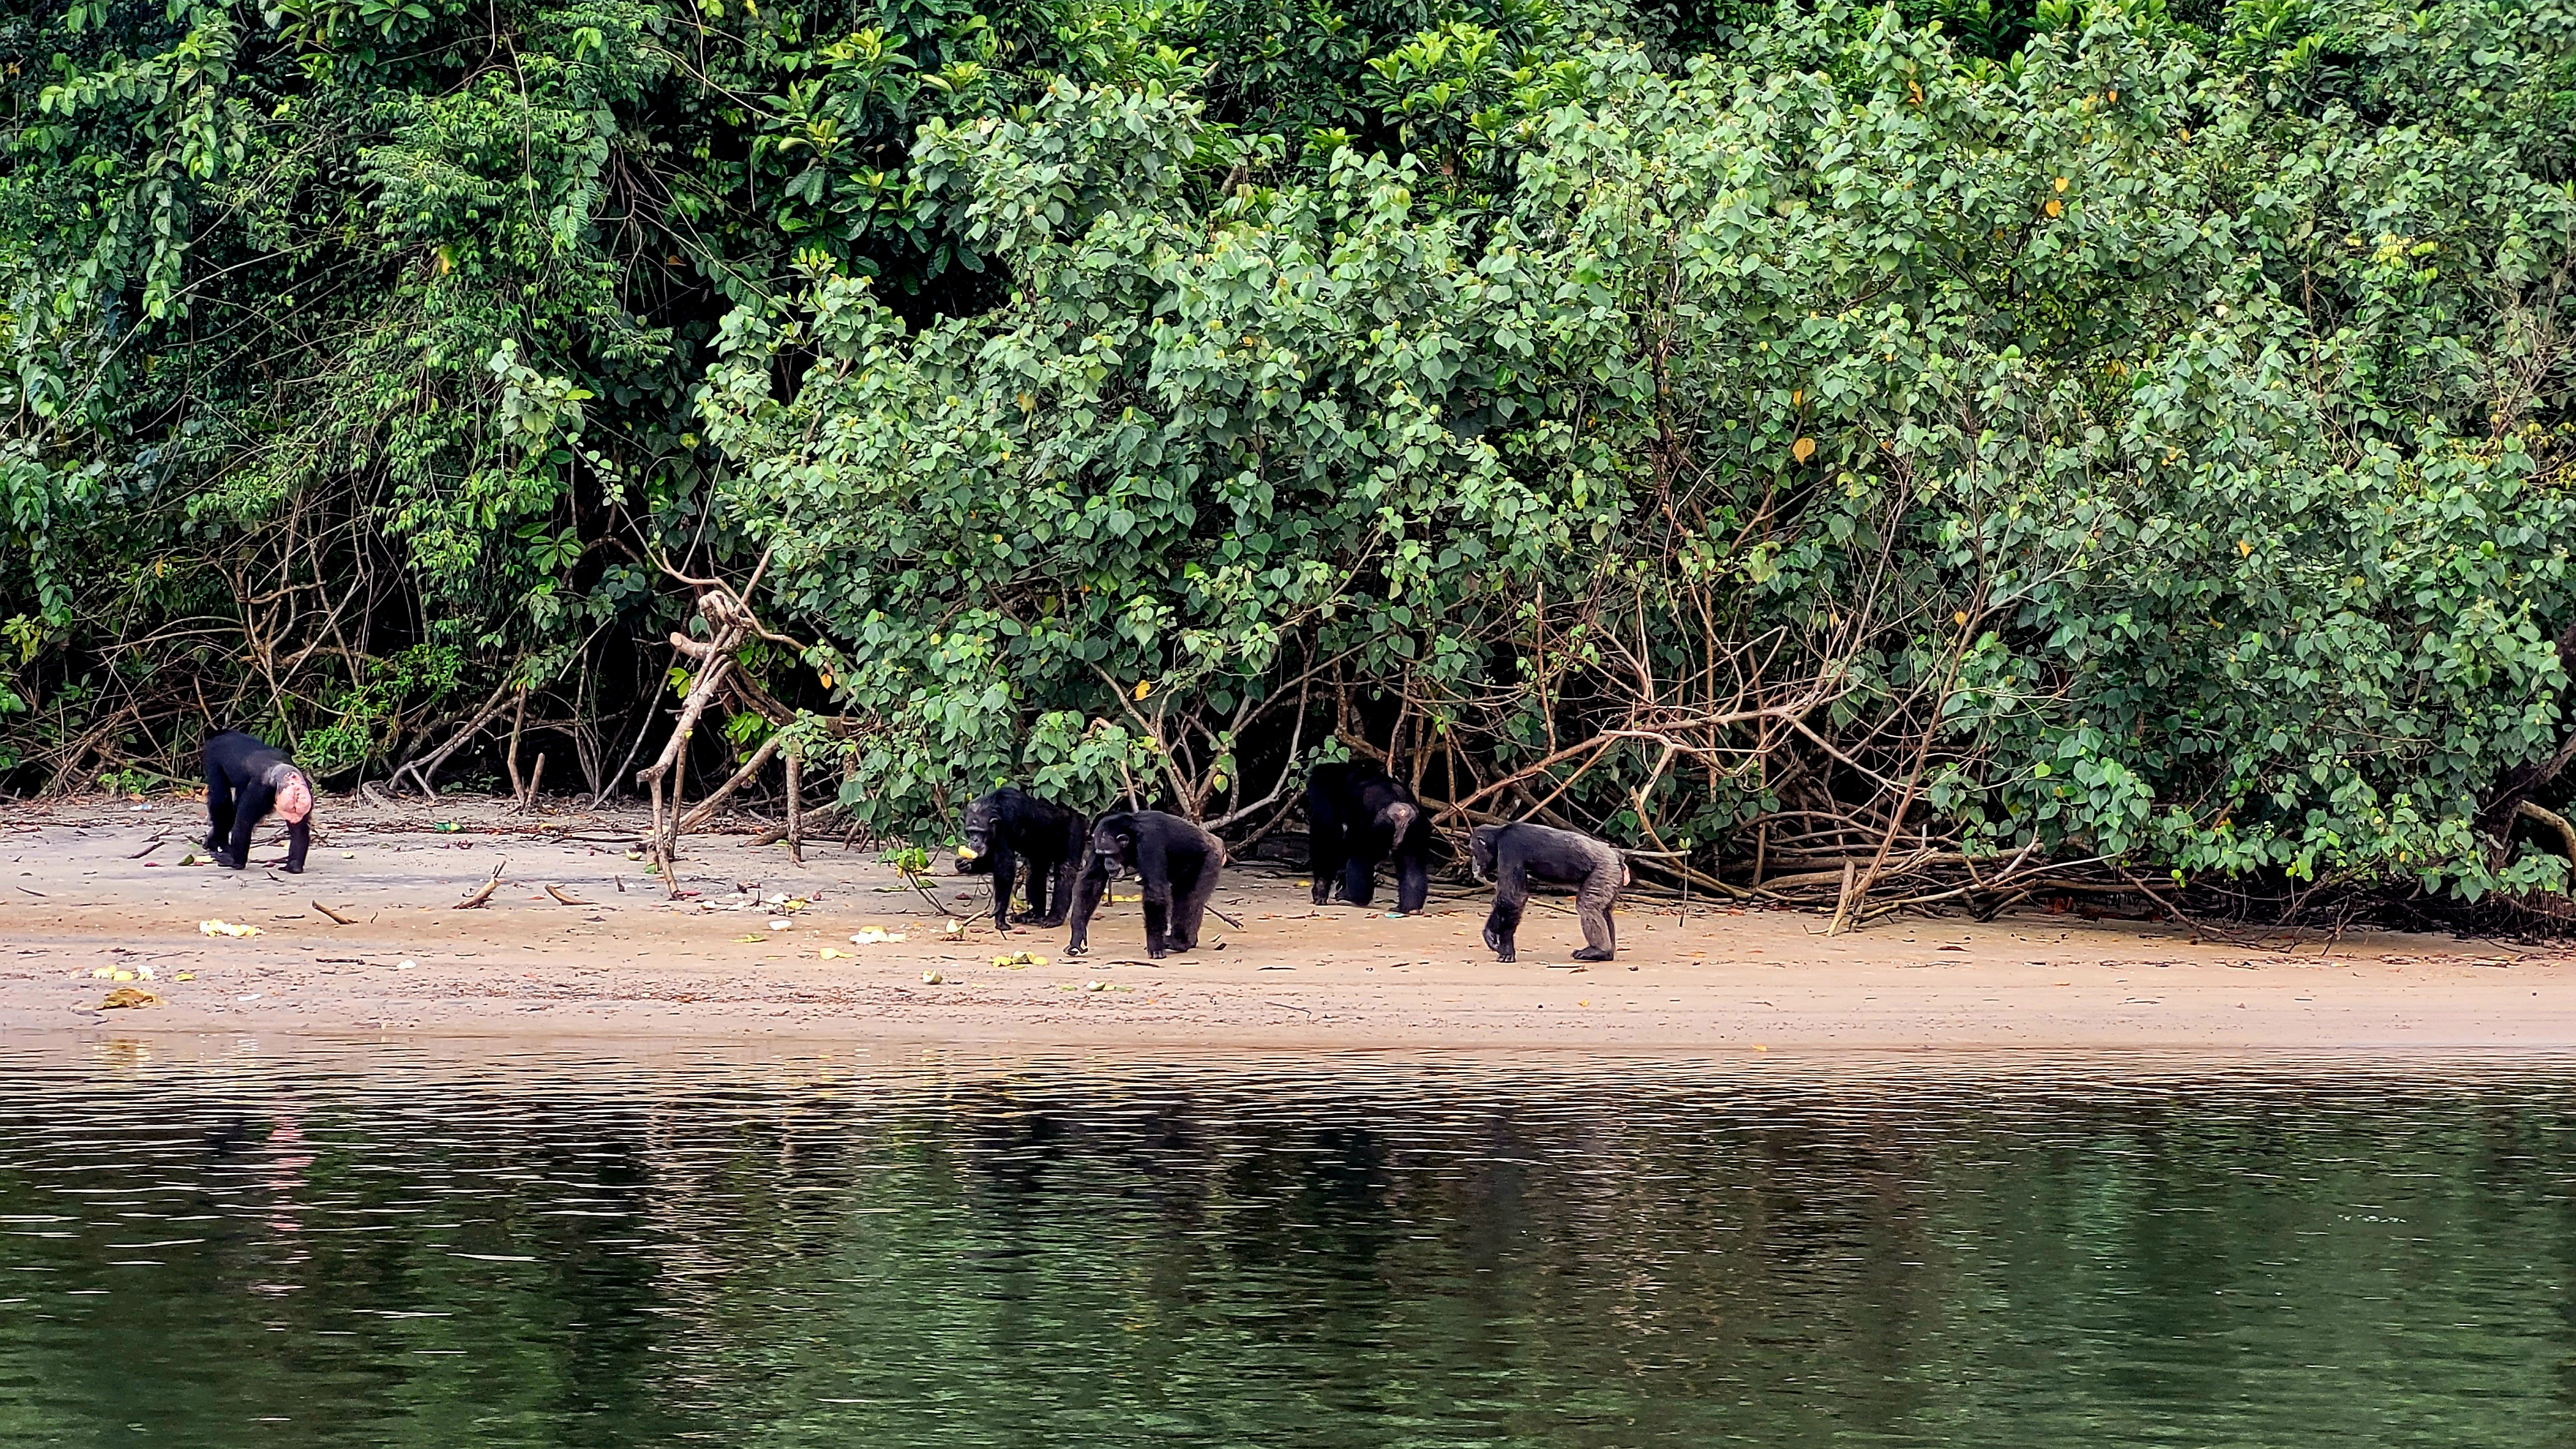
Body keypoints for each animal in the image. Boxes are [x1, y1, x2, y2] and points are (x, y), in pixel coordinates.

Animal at [953, 787, 1089, 931]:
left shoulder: (1007, 822)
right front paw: (965, 864)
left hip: (1076, 828)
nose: (974, 840)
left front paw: (1000, 913)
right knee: (1035, 871)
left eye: (980, 832)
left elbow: (1005, 866)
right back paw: (1032, 914)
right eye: (971, 831)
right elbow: (991, 861)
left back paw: (1054, 918)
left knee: (1065, 870)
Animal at [1065, 810, 1224, 960]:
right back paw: (1188, 941)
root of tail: (1217, 841)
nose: (1107, 863)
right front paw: (1077, 936)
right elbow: (1092, 881)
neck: (1132, 835)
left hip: (1211, 859)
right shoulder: (1096, 841)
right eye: (1102, 854)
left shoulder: (1150, 842)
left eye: (1110, 853)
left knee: (1189, 899)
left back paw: (1179, 942)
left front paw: (1155, 946)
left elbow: (1155, 889)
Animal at [1305, 762, 1431, 914]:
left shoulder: (1322, 793)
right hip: (1417, 828)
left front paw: (1321, 888)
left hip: (1379, 828)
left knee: (1360, 860)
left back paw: (1353, 896)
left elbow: (1327, 831)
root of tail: (1402, 814)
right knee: (1413, 865)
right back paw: (1410, 908)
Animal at [1468, 821, 1627, 963]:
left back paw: (1598, 950)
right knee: (1604, 910)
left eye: (1473, 850)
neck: (1499, 836)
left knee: (1587, 906)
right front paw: (1499, 940)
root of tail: (1617, 855)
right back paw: (1607, 954)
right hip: (1612, 876)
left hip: (1603, 871)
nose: (1474, 863)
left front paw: (1500, 941)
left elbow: (1513, 897)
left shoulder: (1509, 848)